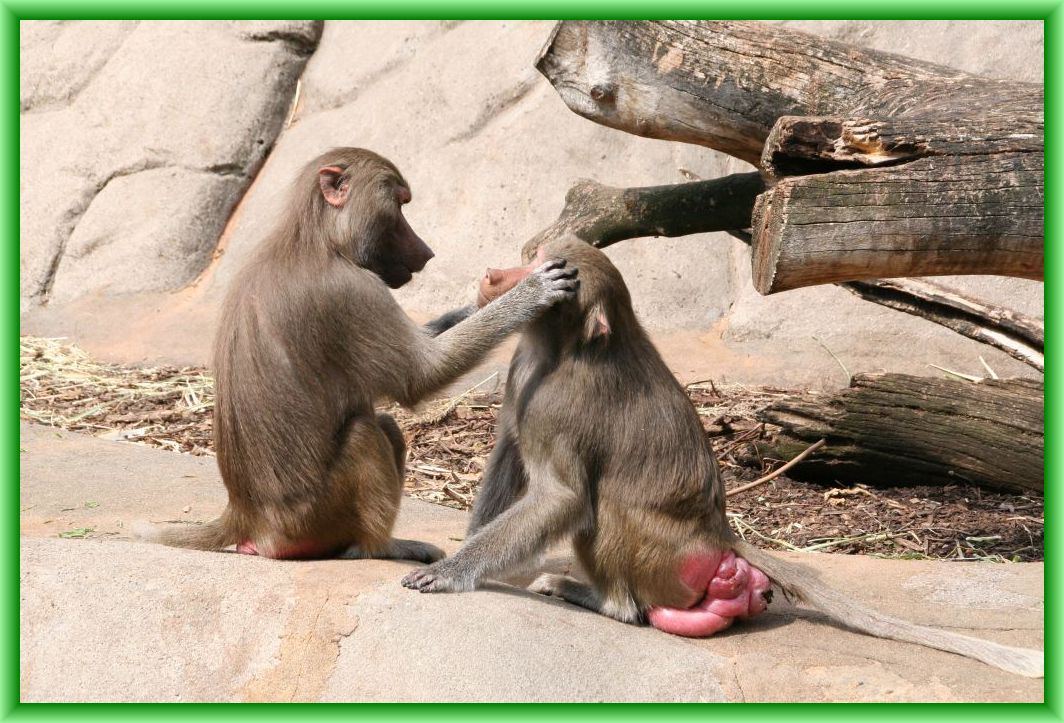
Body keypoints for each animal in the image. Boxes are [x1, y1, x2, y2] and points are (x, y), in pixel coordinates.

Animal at [139, 148, 578, 563]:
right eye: (399, 203)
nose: (426, 253)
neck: (313, 240)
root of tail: (246, 517)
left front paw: (486, 298)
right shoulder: (352, 290)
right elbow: (420, 376)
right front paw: (531, 292)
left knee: (383, 425)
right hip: (314, 517)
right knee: (366, 434)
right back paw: (382, 546)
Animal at [401, 236, 1043, 679]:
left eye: (548, 268)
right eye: (532, 254)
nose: (495, 277)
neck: (565, 344)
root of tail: (720, 536)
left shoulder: (561, 403)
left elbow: (561, 496)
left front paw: (452, 571)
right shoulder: (523, 377)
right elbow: (509, 451)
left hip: (661, 558)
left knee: (606, 523)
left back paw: (596, 598)